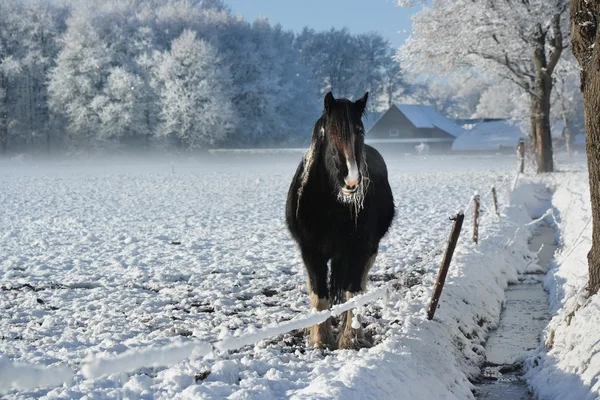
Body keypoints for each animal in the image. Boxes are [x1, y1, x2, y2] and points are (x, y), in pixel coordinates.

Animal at [284, 92, 396, 348]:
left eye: (360, 131)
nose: (352, 181)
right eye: (331, 133)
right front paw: (320, 339)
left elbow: (352, 294)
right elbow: (320, 295)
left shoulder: (359, 250)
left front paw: (349, 340)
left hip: (367, 252)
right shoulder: (310, 251)